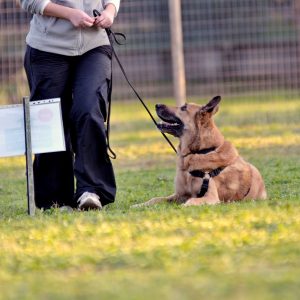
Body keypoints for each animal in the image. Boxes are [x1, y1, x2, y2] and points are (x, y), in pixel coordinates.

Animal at [134, 95, 268, 206]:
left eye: (183, 108)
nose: (157, 105)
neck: (200, 151)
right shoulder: (179, 194)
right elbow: (157, 198)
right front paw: (139, 205)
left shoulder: (211, 197)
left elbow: (191, 200)